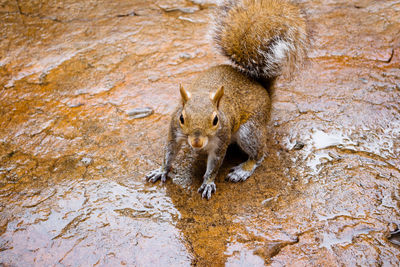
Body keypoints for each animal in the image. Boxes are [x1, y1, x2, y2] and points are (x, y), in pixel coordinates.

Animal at [147, 0, 310, 199]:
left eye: (216, 120)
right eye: (182, 118)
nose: (196, 143)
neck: (203, 93)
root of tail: (262, 89)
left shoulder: (221, 141)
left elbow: (214, 164)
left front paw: (208, 182)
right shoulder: (174, 131)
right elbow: (169, 152)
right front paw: (161, 170)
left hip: (250, 131)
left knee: (260, 153)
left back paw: (243, 170)